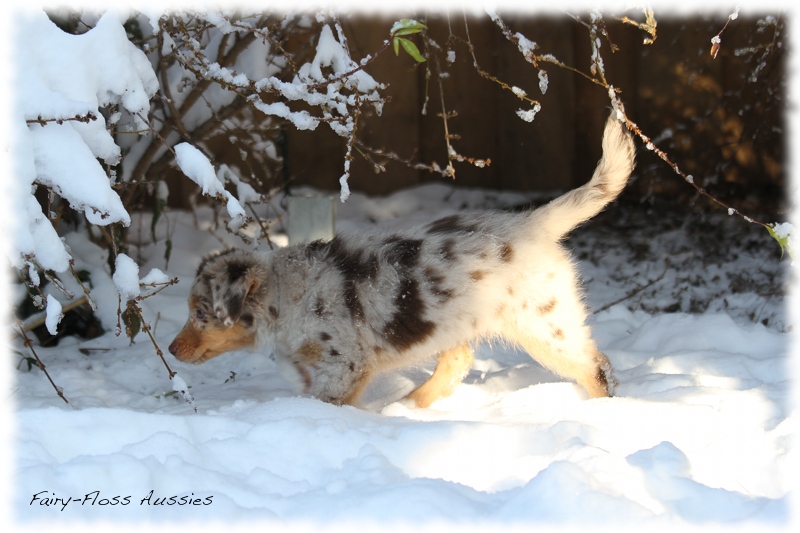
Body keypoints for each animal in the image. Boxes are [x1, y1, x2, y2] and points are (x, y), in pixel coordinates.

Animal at [170, 115, 636, 408]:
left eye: (201, 313)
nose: (172, 350)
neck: (284, 295)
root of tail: (534, 222)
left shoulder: (346, 365)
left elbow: (327, 400)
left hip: (545, 324)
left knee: (597, 368)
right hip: (454, 317)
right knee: (458, 361)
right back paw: (408, 407)